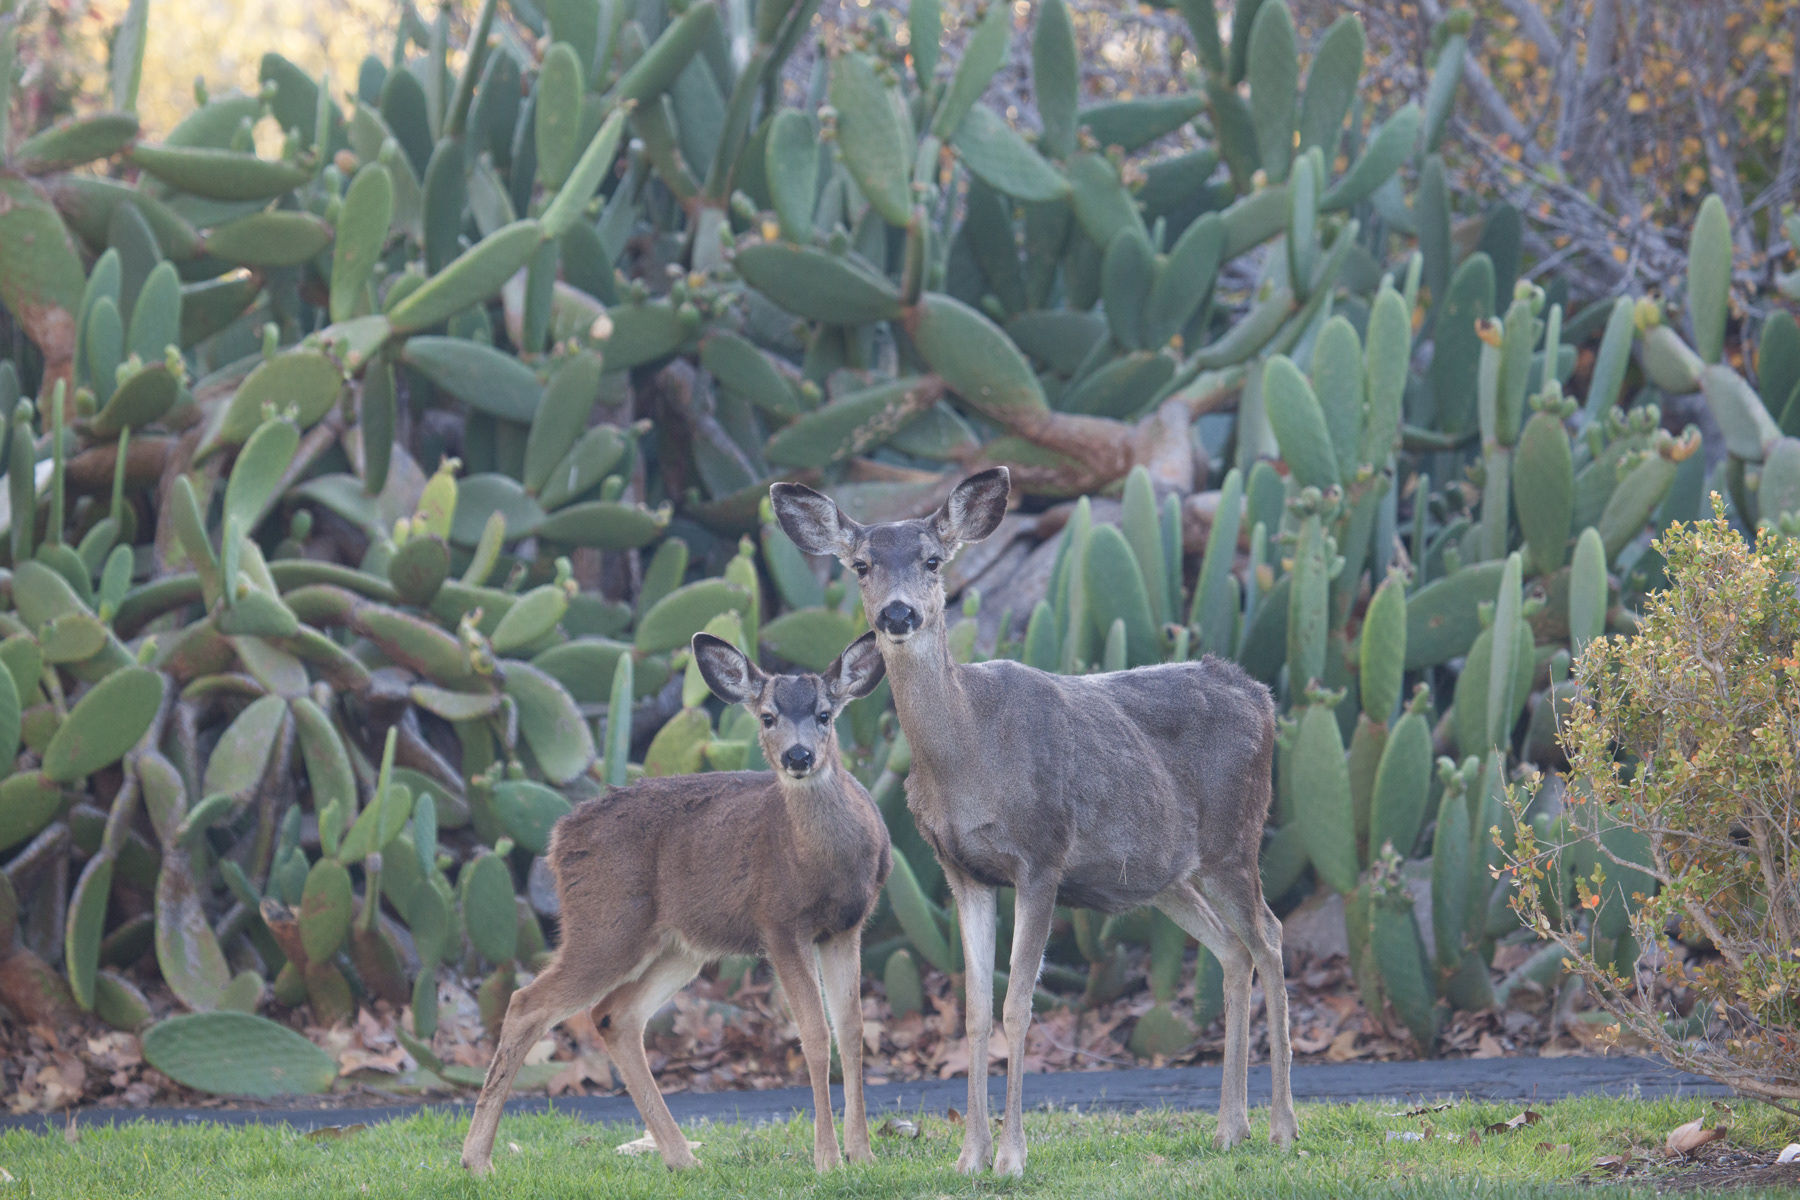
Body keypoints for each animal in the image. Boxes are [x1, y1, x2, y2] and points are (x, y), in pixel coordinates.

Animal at [460, 631, 892, 1176]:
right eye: (767, 716)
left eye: (824, 714)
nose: (798, 756)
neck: (826, 864)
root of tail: (558, 839)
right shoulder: (779, 923)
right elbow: (815, 1035)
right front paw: (828, 1160)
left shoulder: (846, 927)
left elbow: (853, 1030)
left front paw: (863, 1154)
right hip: (605, 925)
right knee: (526, 1004)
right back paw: (477, 1160)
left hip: (679, 945)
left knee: (614, 1015)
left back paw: (682, 1156)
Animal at [772, 467, 1295, 1176]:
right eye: (860, 565)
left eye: (933, 560)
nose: (898, 614)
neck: (967, 752)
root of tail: (1261, 695)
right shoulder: (961, 870)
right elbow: (974, 1011)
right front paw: (968, 1158)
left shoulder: (1042, 856)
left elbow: (1018, 1005)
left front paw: (1012, 1157)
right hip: (1166, 876)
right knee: (1233, 951)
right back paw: (1229, 1128)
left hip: (1234, 839)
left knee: (1270, 938)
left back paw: (1281, 1128)